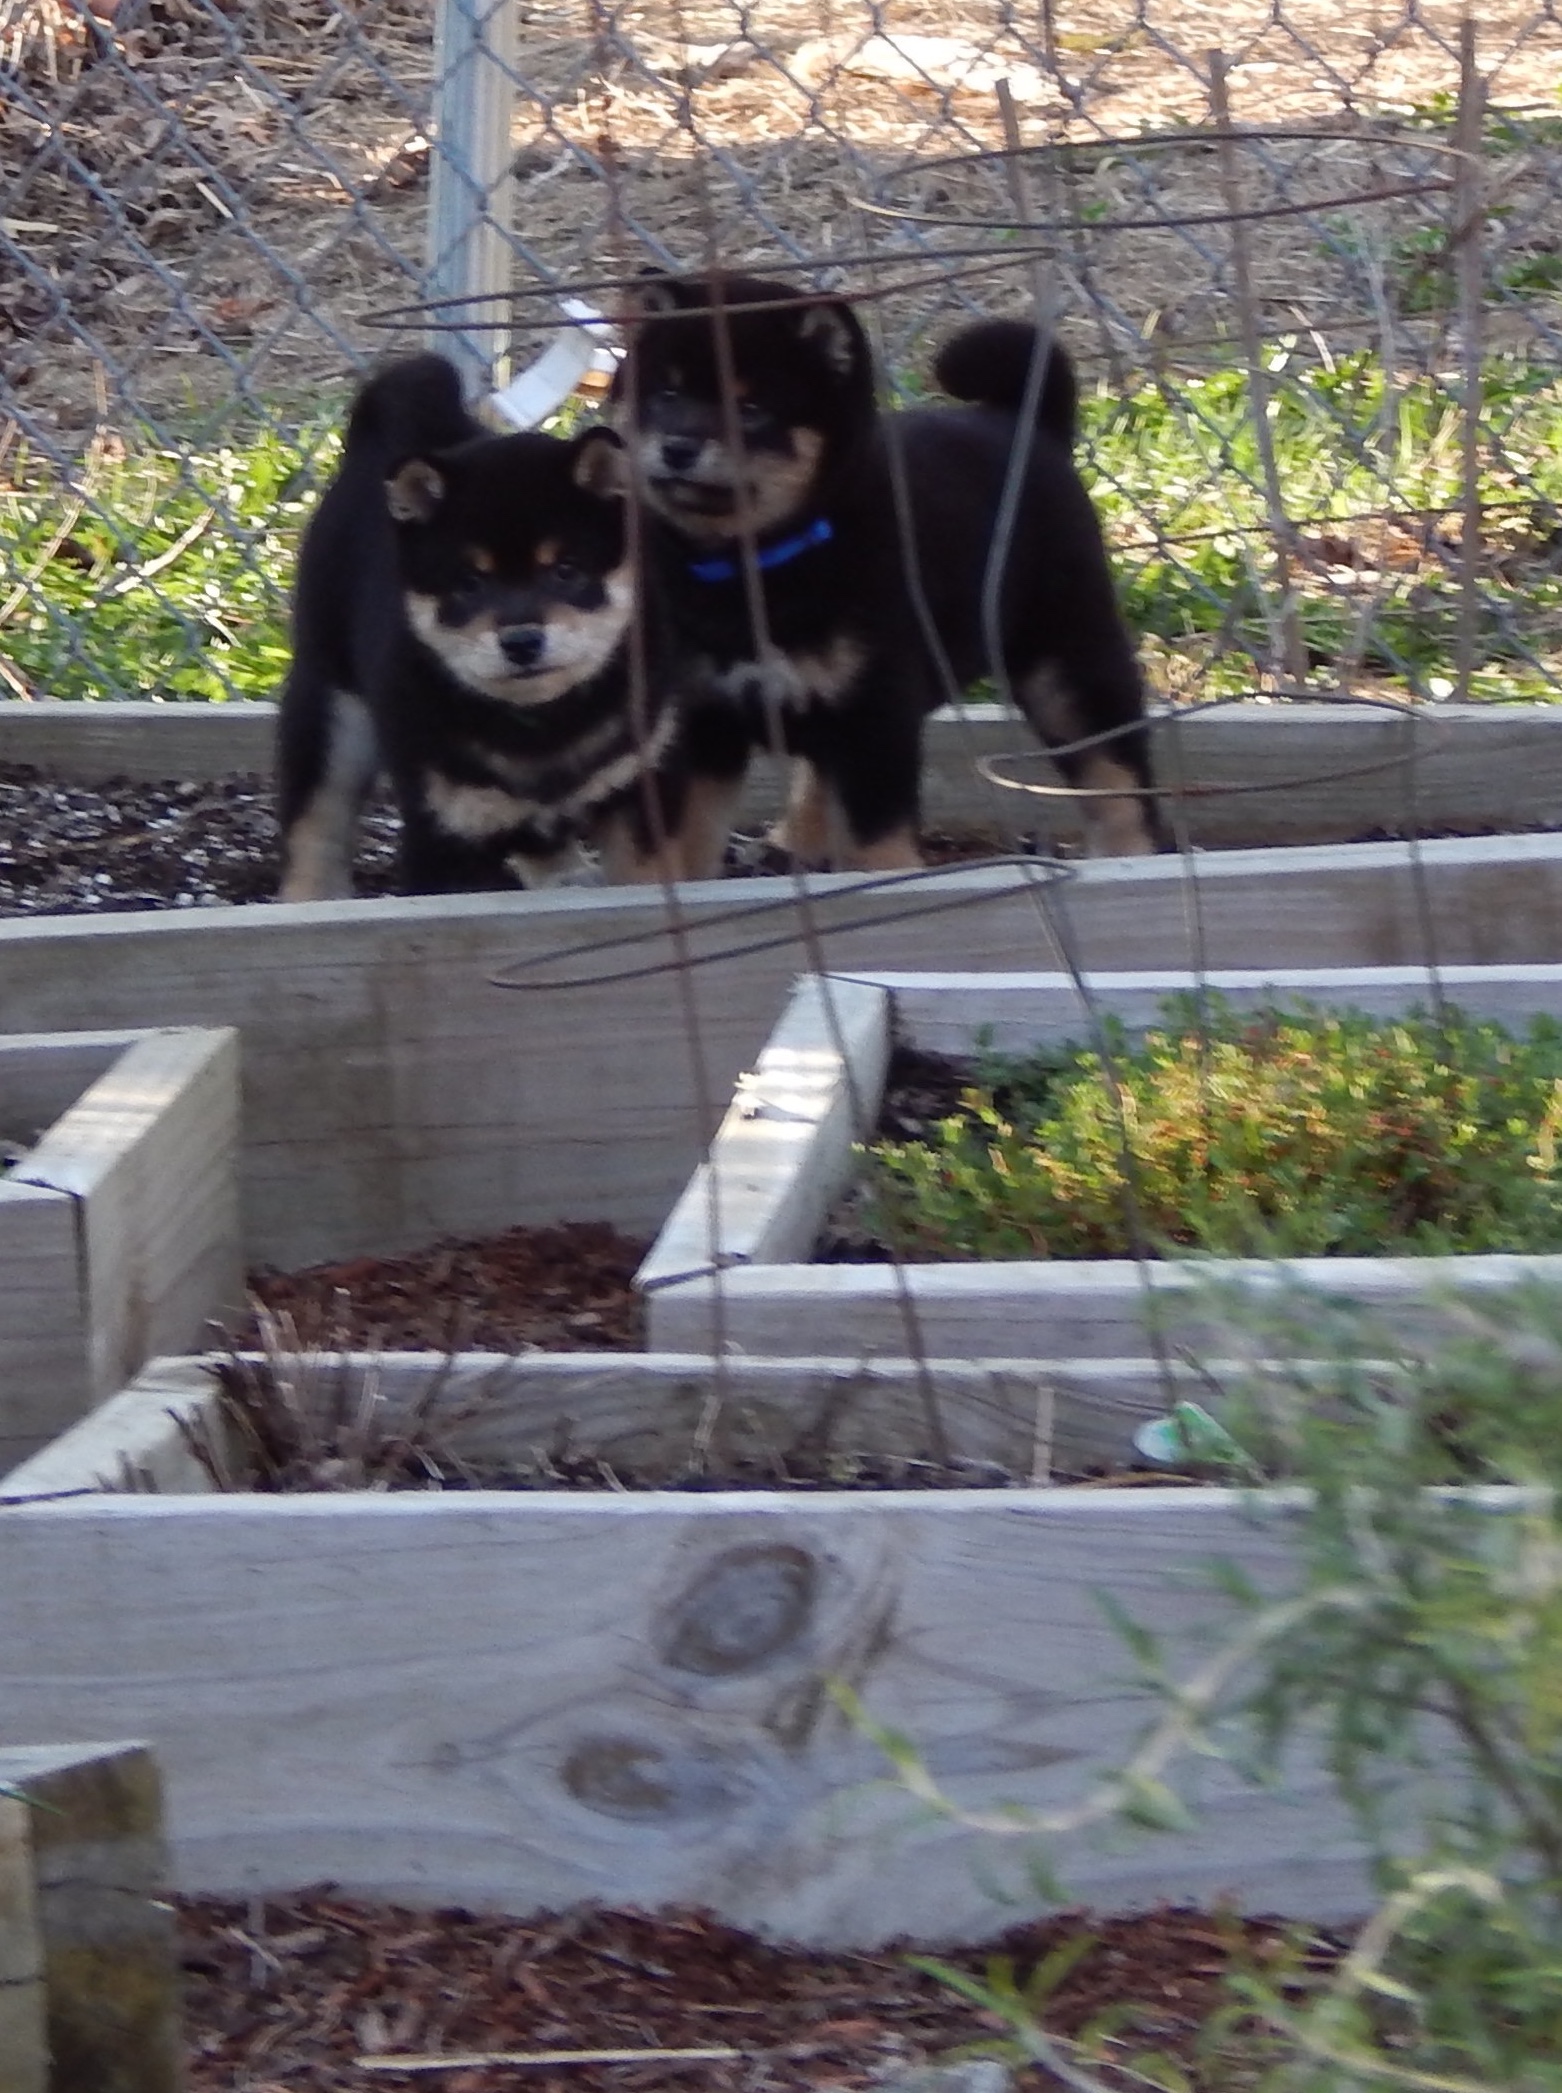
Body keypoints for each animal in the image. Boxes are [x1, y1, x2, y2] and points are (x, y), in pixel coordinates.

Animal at [276, 352, 684, 901]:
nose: (521, 641)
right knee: (316, 819)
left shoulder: (639, 791)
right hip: (331, 705)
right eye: (470, 583)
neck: (541, 726)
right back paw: (312, 900)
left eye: (566, 570)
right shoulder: (450, 831)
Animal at [612, 272, 1161, 874]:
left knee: (1117, 774)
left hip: (1067, 667)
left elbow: (877, 838)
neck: (749, 564)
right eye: (666, 394)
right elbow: (687, 838)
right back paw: (793, 844)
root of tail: (1027, 426)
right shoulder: (700, 716)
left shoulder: (874, 714)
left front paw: (889, 879)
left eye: (752, 407)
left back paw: (1132, 860)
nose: (678, 447)